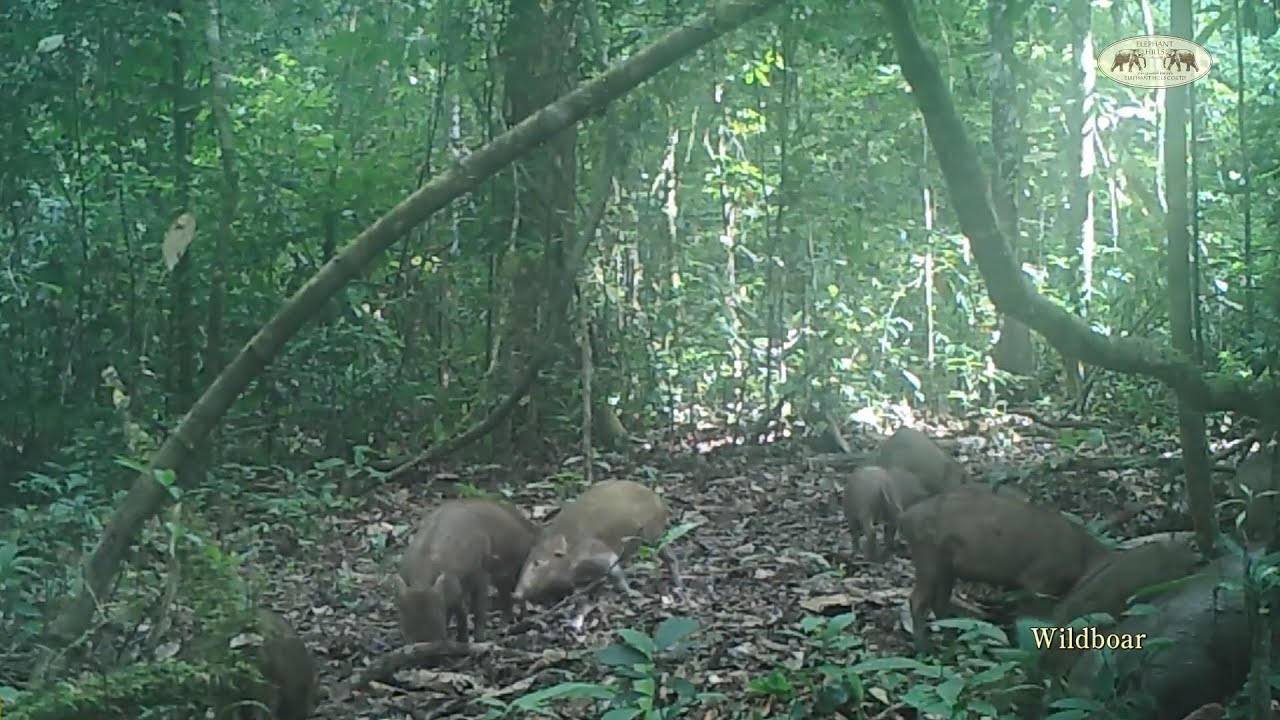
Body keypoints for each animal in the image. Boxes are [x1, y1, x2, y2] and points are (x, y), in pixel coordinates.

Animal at [394, 498, 537, 643]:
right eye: (404, 617)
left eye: (437, 614)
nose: (424, 641)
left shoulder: (479, 575)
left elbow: (472, 610)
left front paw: (474, 639)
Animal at [514, 480, 682, 603]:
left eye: (537, 563)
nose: (515, 594)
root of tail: (661, 502)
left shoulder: (597, 551)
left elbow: (615, 570)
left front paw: (631, 593)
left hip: (652, 534)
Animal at [899, 488, 1107, 652]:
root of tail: (906, 517)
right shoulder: (1038, 583)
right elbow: (1029, 621)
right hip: (929, 560)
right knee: (917, 600)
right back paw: (924, 648)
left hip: (945, 568)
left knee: (939, 602)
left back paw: (951, 642)